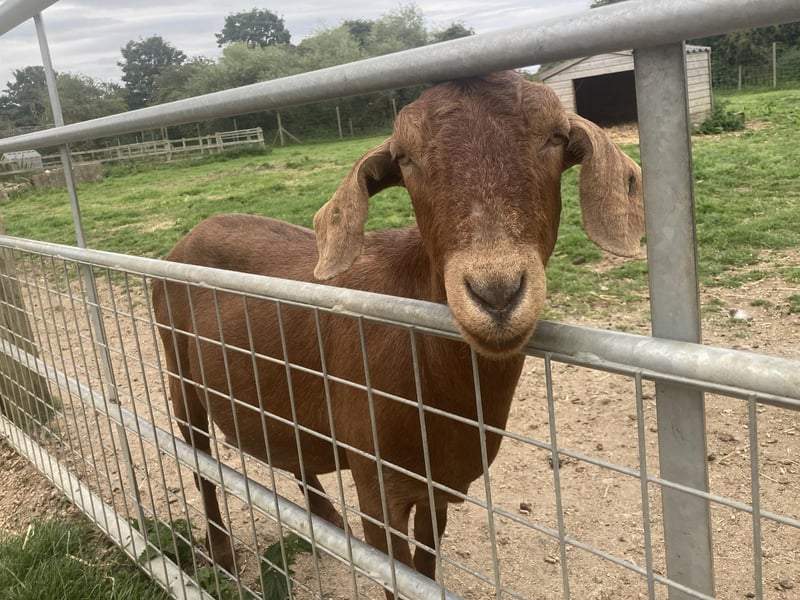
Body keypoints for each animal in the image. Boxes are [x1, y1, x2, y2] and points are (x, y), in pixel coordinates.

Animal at [151, 71, 644, 596]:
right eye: (405, 158)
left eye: (554, 137)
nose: (496, 293)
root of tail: (186, 239)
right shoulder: (378, 486)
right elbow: (398, 576)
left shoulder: (436, 487)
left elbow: (424, 566)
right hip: (179, 376)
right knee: (199, 461)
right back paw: (221, 555)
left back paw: (325, 517)